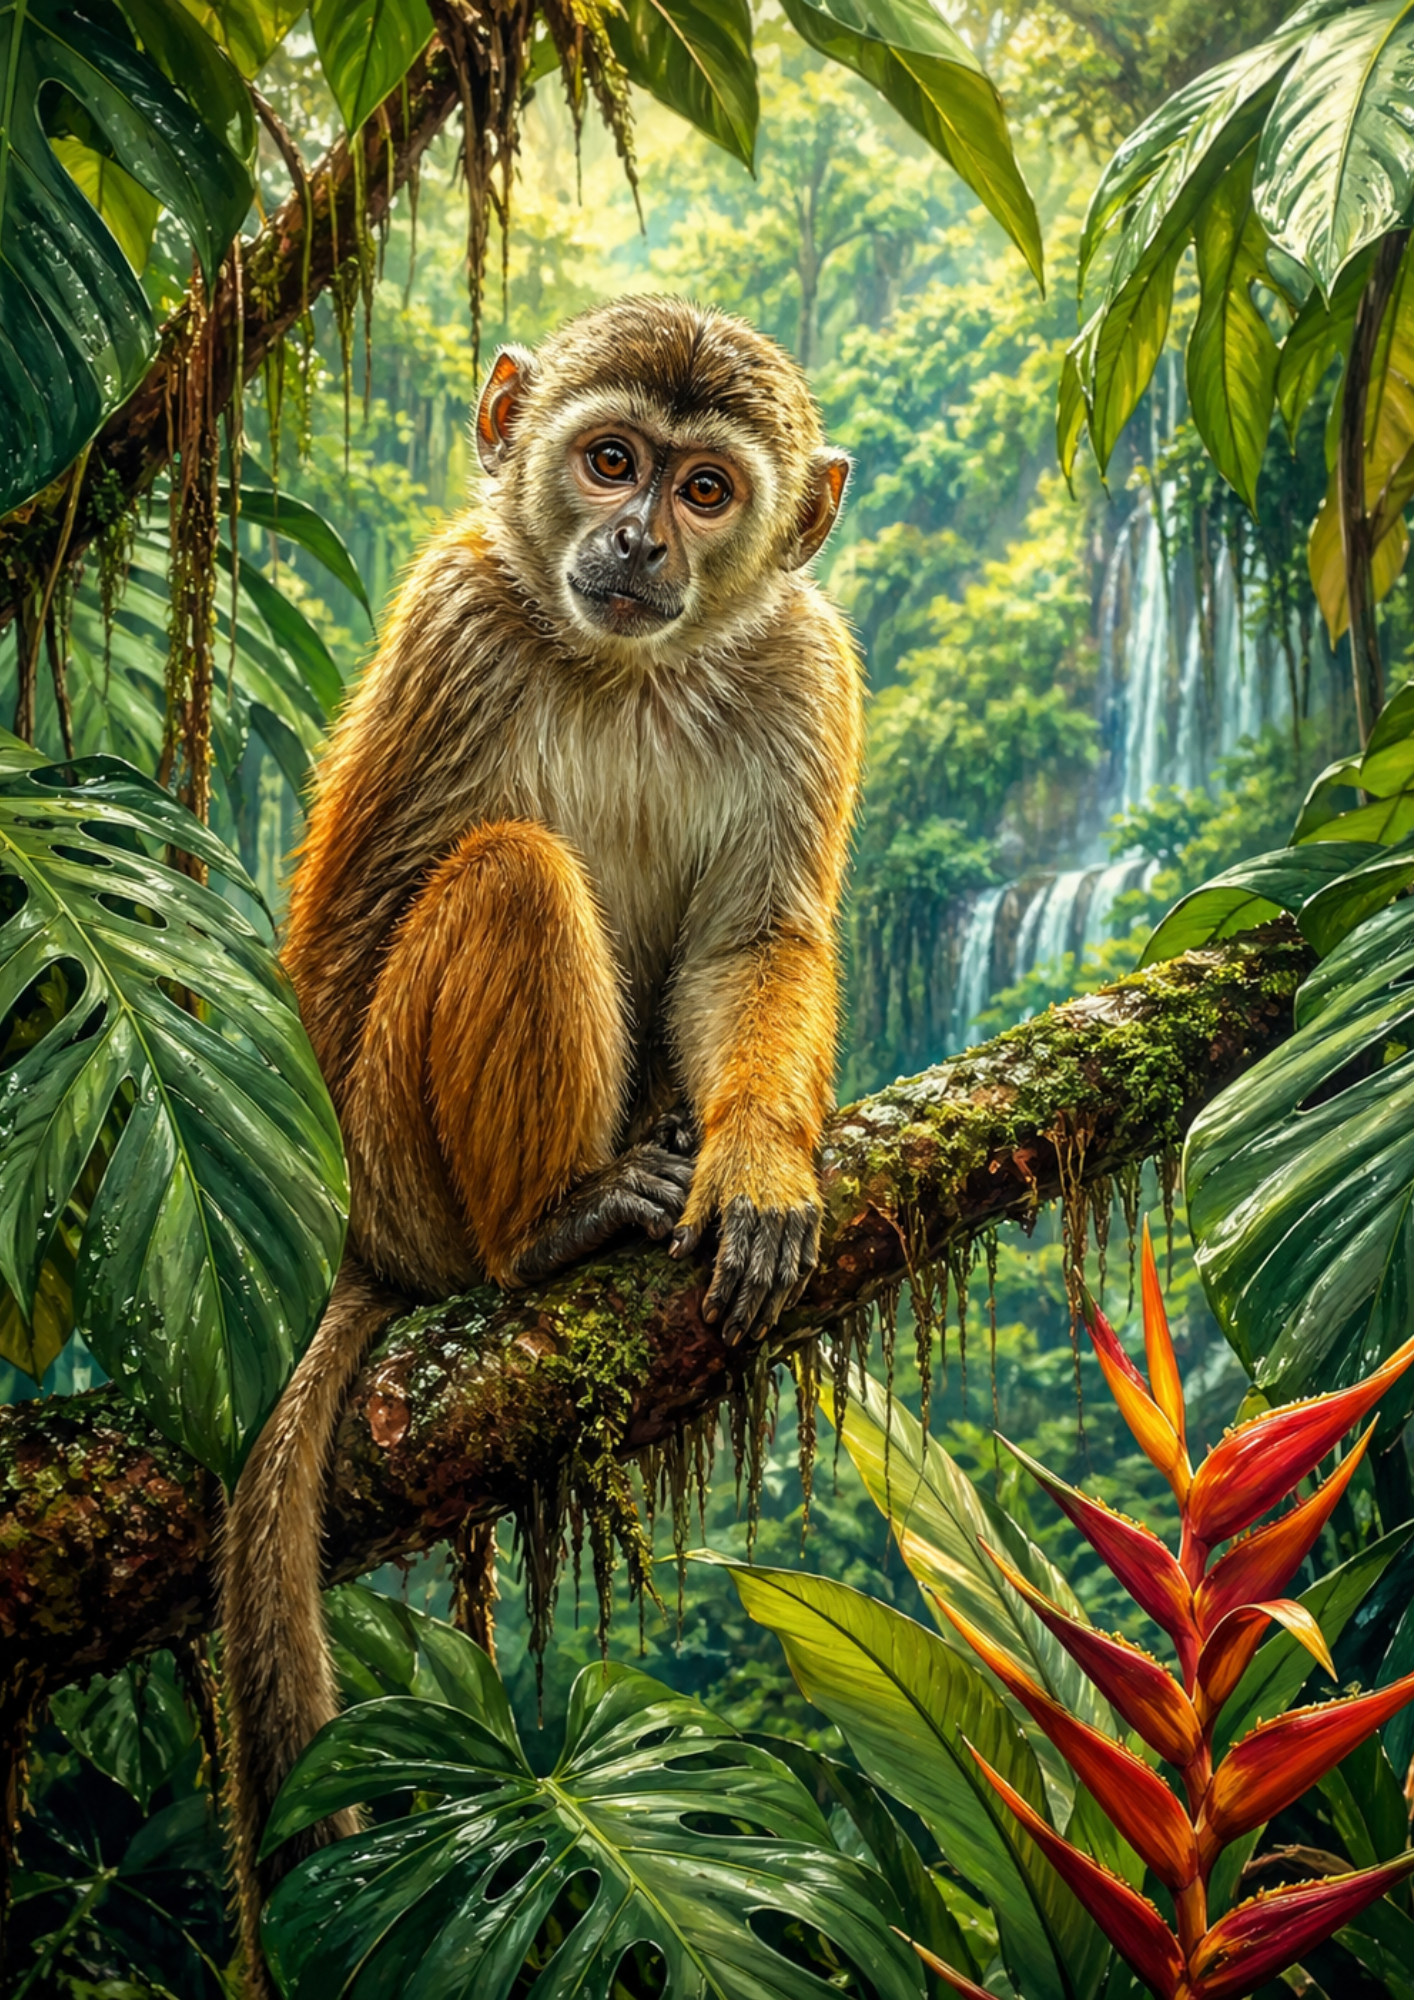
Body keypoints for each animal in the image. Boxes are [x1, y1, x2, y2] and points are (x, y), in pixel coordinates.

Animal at [220, 294, 864, 1994]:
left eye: (704, 492)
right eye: (610, 461)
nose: (635, 540)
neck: (630, 666)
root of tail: (369, 1240)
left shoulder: (805, 662)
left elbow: (751, 945)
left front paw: (756, 1165)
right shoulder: (452, 612)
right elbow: (355, 930)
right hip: (394, 1163)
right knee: (507, 871)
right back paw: (551, 1228)